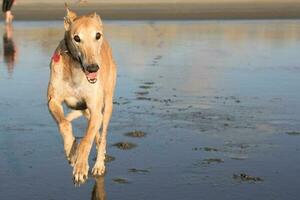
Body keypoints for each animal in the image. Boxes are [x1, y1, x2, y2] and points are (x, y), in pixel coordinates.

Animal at [47, 5, 116, 184]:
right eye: (76, 38)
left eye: (97, 35)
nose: (93, 68)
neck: (76, 71)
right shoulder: (52, 101)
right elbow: (64, 123)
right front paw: (71, 151)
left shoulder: (96, 108)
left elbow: (86, 140)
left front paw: (80, 168)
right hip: (87, 111)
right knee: (96, 134)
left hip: (107, 106)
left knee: (102, 135)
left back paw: (99, 165)